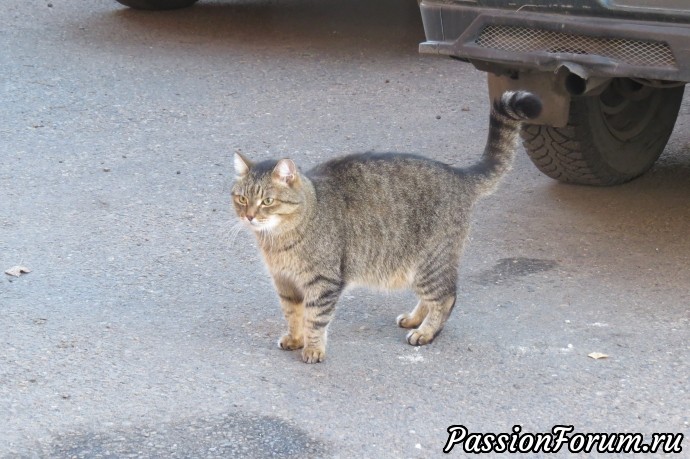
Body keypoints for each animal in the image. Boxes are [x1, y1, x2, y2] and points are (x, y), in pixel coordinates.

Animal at [234, 90, 540, 362]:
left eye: (267, 201)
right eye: (242, 199)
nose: (249, 216)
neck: (278, 239)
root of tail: (458, 173)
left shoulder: (323, 283)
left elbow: (315, 319)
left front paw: (312, 348)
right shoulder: (285, 281)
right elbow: (293, 314)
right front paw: (295, 338)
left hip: (430, 263)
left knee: (447, 297)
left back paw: (425, 332)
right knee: (433, 297)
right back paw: (414, 319)